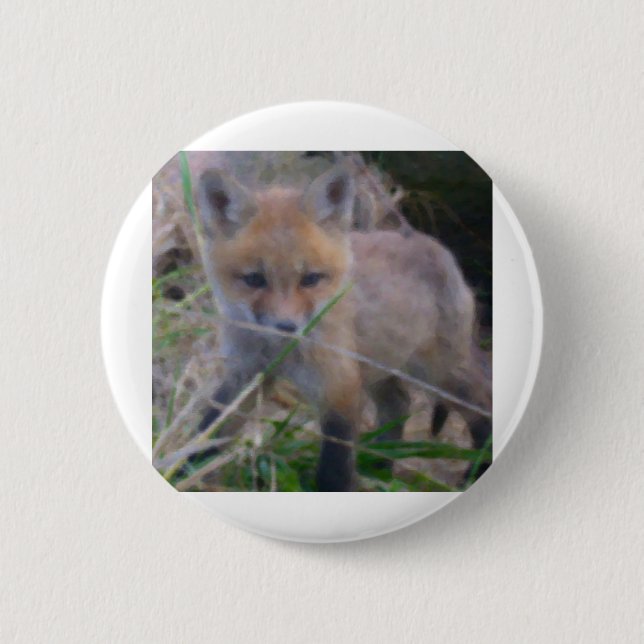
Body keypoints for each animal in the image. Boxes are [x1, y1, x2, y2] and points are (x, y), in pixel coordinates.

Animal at [193, 163, 491, 491]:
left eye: (310, 279)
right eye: (254, 279)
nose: (286, 326)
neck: (281, 353)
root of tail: (435, 246)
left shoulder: (340, 386)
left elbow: (334, 468)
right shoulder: (245, 375)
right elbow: (208, 431)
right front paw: (185, 472)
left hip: (437, 373)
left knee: (482, 406)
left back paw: (478, 467)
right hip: (379, 366)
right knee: (399, 403)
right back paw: (380, 467)